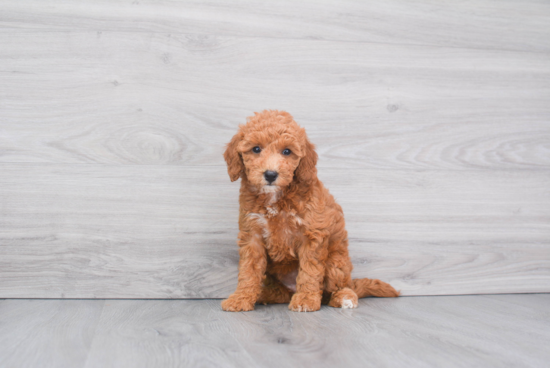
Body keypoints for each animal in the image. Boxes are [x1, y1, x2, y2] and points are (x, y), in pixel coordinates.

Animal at [222, 109, 398, 310]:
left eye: (287, 151)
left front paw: (305, 299)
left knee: (339, 287)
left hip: (336, 263)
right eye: (256, 149)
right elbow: (248, 271)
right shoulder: (252, 234)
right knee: (281, 293)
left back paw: (343, 297)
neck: (276, 198)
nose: (271, 174)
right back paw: (264, 294)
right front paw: (241, 298)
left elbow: (309, 270)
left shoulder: (312, 234)